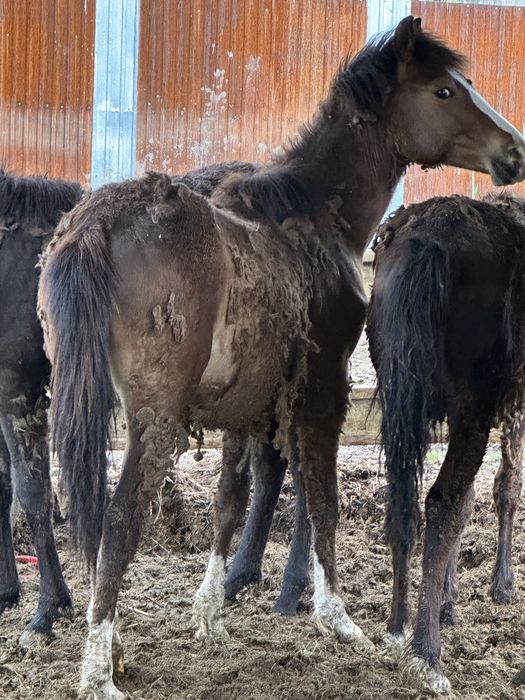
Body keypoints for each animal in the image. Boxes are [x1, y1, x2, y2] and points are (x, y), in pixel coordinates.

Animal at [367, 192, 525, 694]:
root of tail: (426, 239)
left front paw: (448, 601)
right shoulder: (507, 405)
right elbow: (504, 488)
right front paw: (501, 585)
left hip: (399, 397)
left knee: (404, 502)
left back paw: (397, 627)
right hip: (473, 406)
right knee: (442, 502)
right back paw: (427, 654)